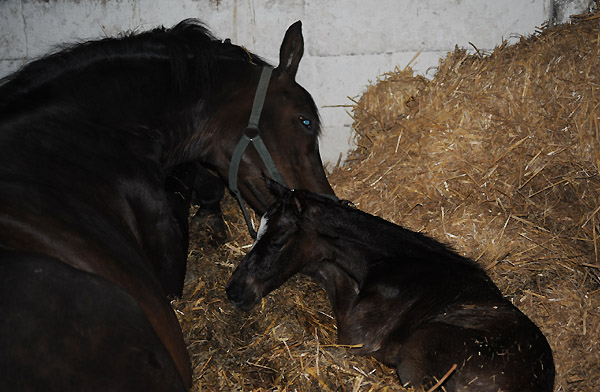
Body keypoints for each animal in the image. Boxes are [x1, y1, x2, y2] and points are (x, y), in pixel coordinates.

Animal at [227, 185, 556, 392]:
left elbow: (327, 271)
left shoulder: (359, 334)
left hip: (420, 346)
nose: (234, 290)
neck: (393, 264)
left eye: (278, 241)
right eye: (256, 233)